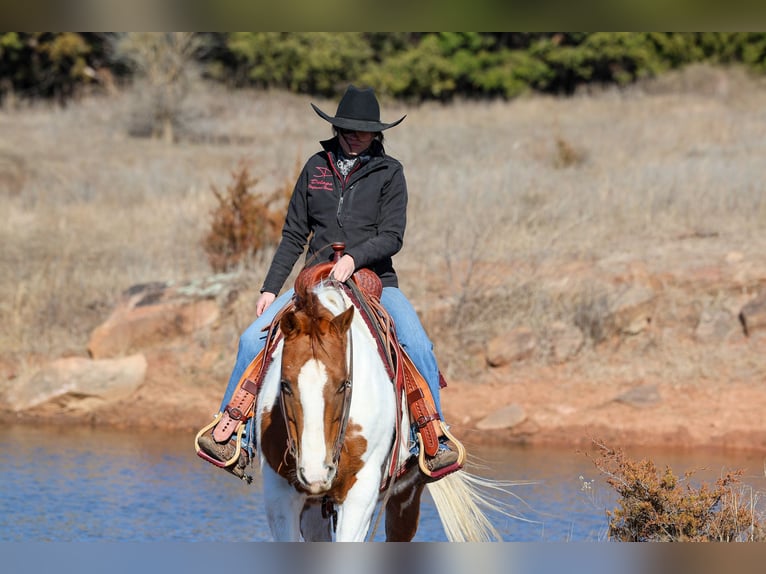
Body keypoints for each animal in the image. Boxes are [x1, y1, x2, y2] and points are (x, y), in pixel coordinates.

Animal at [252, 276, 513, 541]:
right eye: (284, 385)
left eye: (343, 384)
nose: (316, 472)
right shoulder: (279, 491)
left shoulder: (361, 492)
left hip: (407, 494)